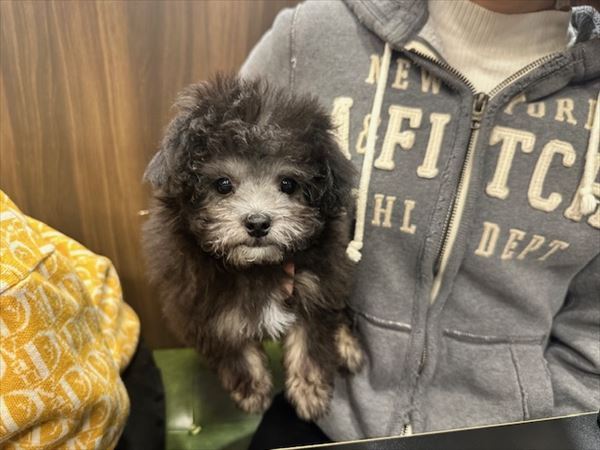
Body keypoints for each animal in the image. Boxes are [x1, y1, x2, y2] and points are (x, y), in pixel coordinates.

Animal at [142, 75, 363, 420]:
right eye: (223, 184)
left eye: (288, 184)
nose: (258, 222)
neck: (258, 266)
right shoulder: (202, 303)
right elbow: (232, 344)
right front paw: (252, 391)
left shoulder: (315, 286)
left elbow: (310, 341)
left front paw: (310, 393)